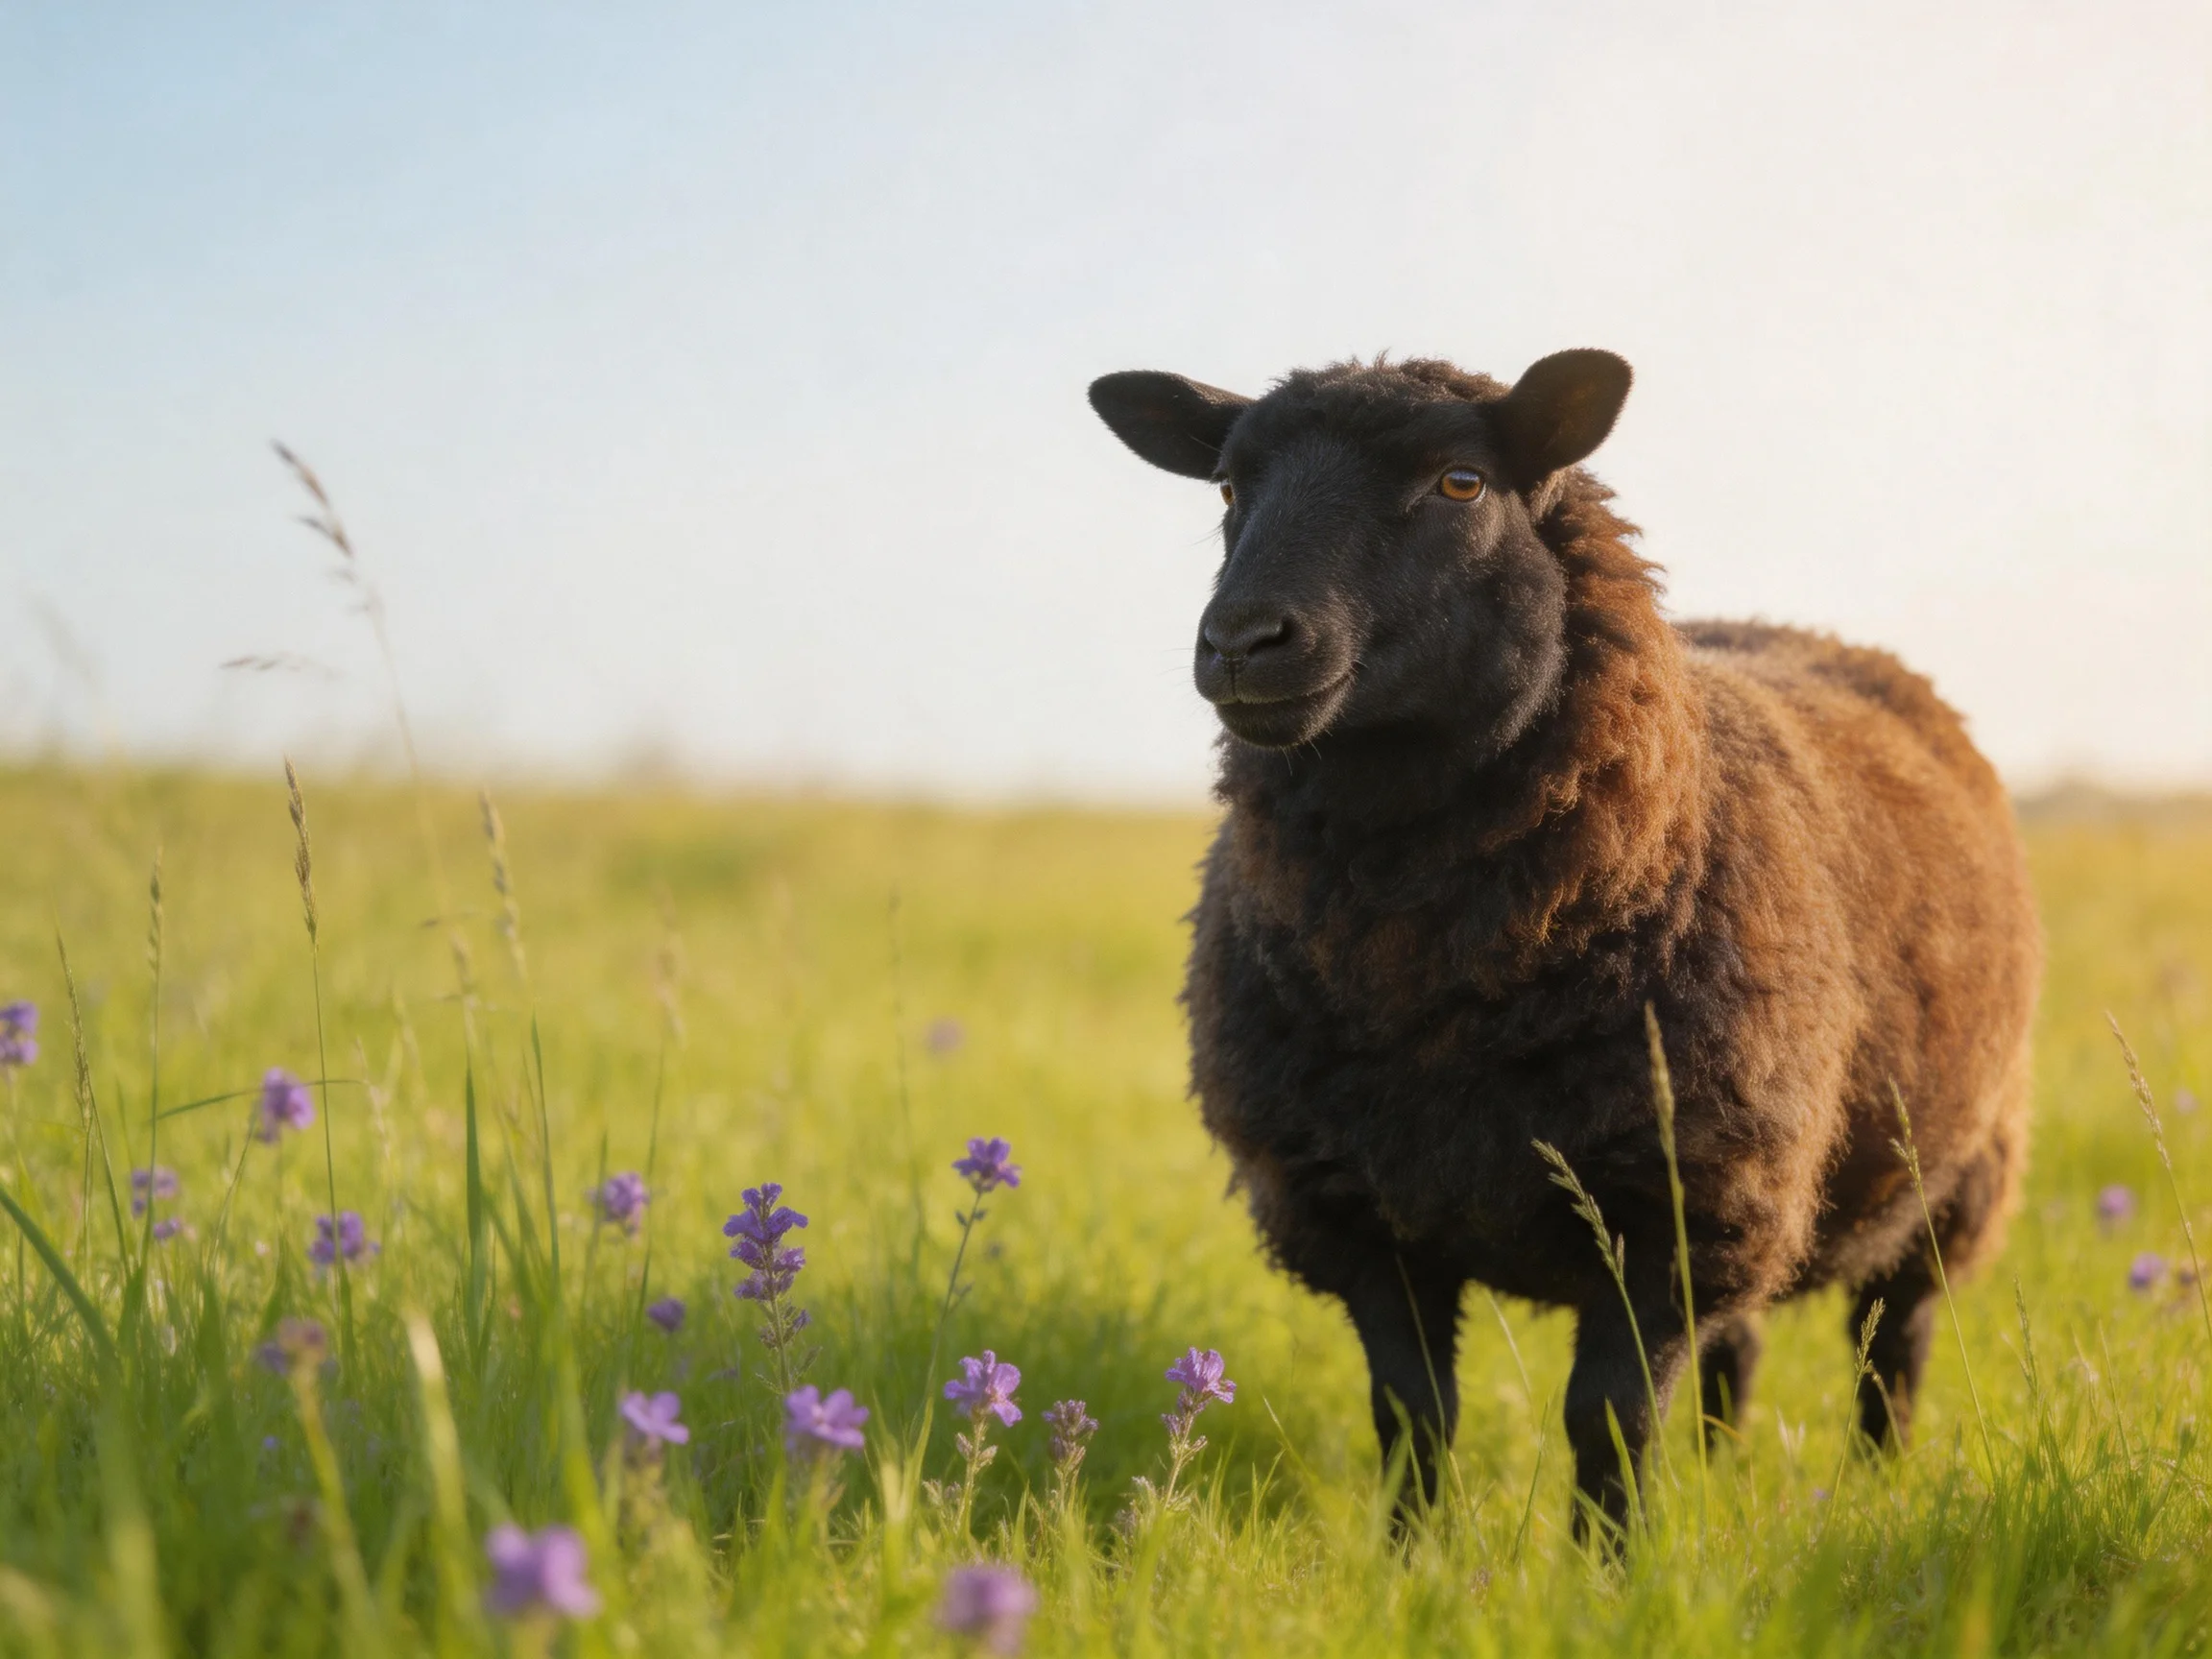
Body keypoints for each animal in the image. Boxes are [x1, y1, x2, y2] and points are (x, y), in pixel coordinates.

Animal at [1087, 351, 2040, 1539]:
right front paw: (1412, 1558)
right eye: (1226, 487)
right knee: (1740, 1348)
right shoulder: (1355, 1211)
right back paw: (1722, 1475)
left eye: (1461, 481)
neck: (1431, 989)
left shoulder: (1673, 1211)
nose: (1243, 643)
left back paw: (1873, 1491)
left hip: (1944, 1176)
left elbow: (1612, 1423)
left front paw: (1608, 1566)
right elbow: (1412, 1414)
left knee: (1891, 1352)